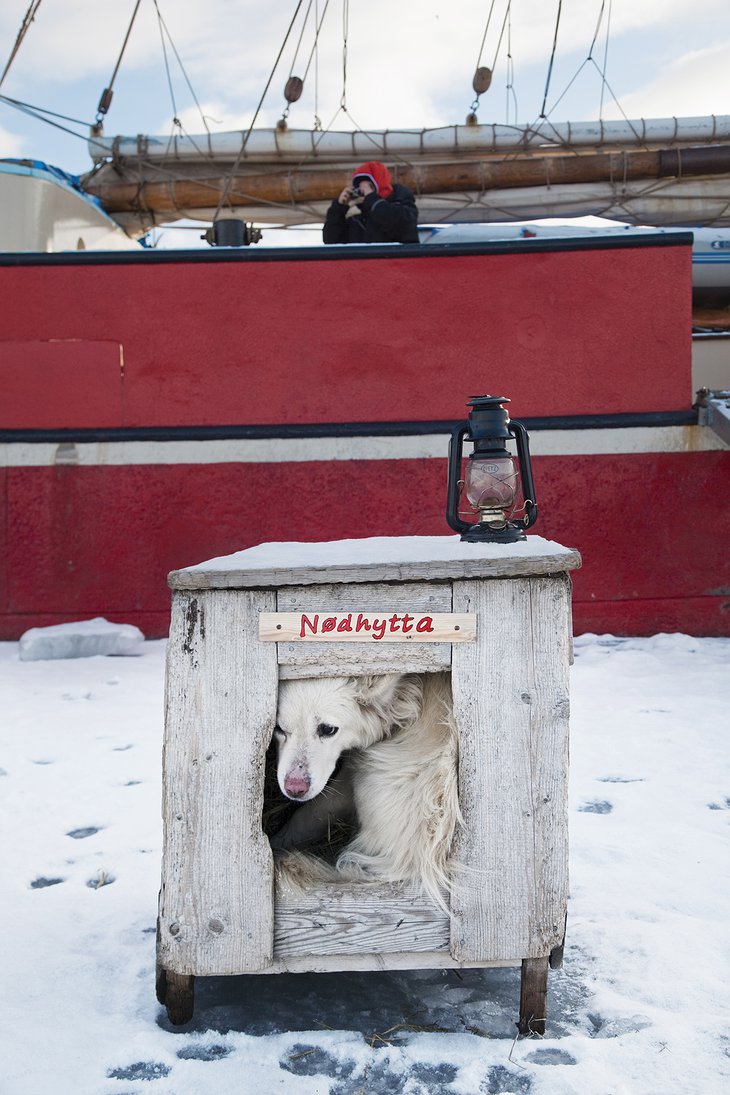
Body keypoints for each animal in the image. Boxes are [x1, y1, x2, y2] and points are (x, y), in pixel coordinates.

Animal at [271, 670, 459, 911]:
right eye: (278, 729)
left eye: (328, 729)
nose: (295, 789)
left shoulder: (346, 781)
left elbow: (308, 815)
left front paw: (274, 843)